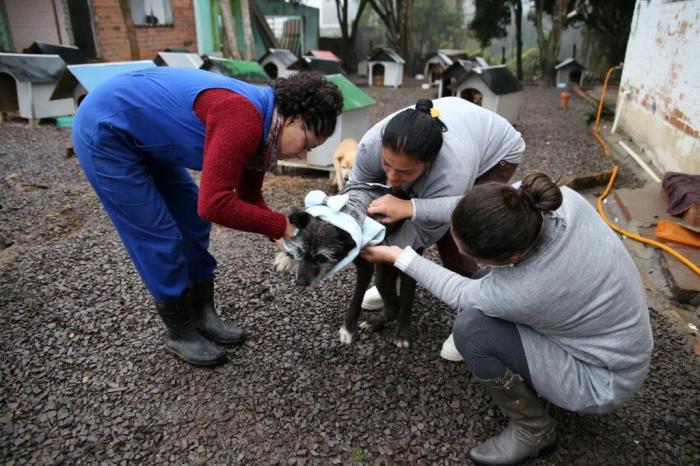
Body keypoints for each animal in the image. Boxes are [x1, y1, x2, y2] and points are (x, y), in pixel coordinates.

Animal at [272, 184, 416, 348]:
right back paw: (375, 323)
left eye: (322, 258)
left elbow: (356, 301)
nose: (300, 283)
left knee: (405, 304)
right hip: (382, 276)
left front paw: (348, 329)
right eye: (301, 251)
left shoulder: (365, 268)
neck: (342, 212)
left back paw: (401, 335)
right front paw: (286, 257)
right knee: (392, 307)